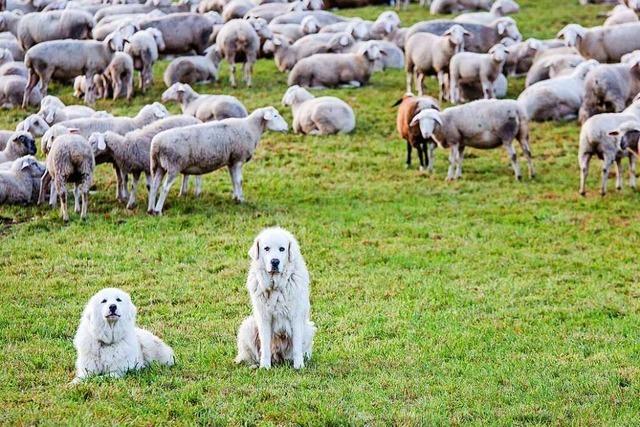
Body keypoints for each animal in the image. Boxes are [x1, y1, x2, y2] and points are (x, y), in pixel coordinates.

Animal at [148, 105, 288, 216]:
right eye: (275, 116)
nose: (287, 127)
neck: (251, 128)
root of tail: (156, 144)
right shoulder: (238, 159)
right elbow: (239, 181)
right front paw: (241, 200)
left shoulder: (231, 162)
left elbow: (233, 180)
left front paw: (235, 198)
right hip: (173, 165)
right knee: (164, 188)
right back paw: (158, 211)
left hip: (158, 166)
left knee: (154, 186)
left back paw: (151, 210)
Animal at [234, 227, 316, 372]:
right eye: (266, 248)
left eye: (282, 249)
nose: (275, 261)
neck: (276, 286)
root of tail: (278, 358)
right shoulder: (264, 318)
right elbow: (265, 347)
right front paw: (265, 367)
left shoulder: (296, 317)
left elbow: (297, 347)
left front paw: (299, 366)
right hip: (248, 325)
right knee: (254, 354)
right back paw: (254, 364)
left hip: (308, 328)